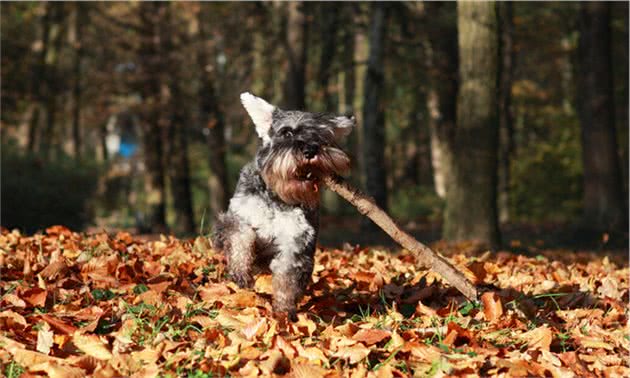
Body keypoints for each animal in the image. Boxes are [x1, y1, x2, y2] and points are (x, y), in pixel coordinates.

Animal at [214, 91, 356, 318]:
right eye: (287, 132)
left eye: (322, 137)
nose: (310, 150)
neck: (278, 198)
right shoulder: (236, 217)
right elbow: (242, 237)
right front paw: (240, 272)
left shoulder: (296, 242)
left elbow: (287, 279)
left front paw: (283, 312)